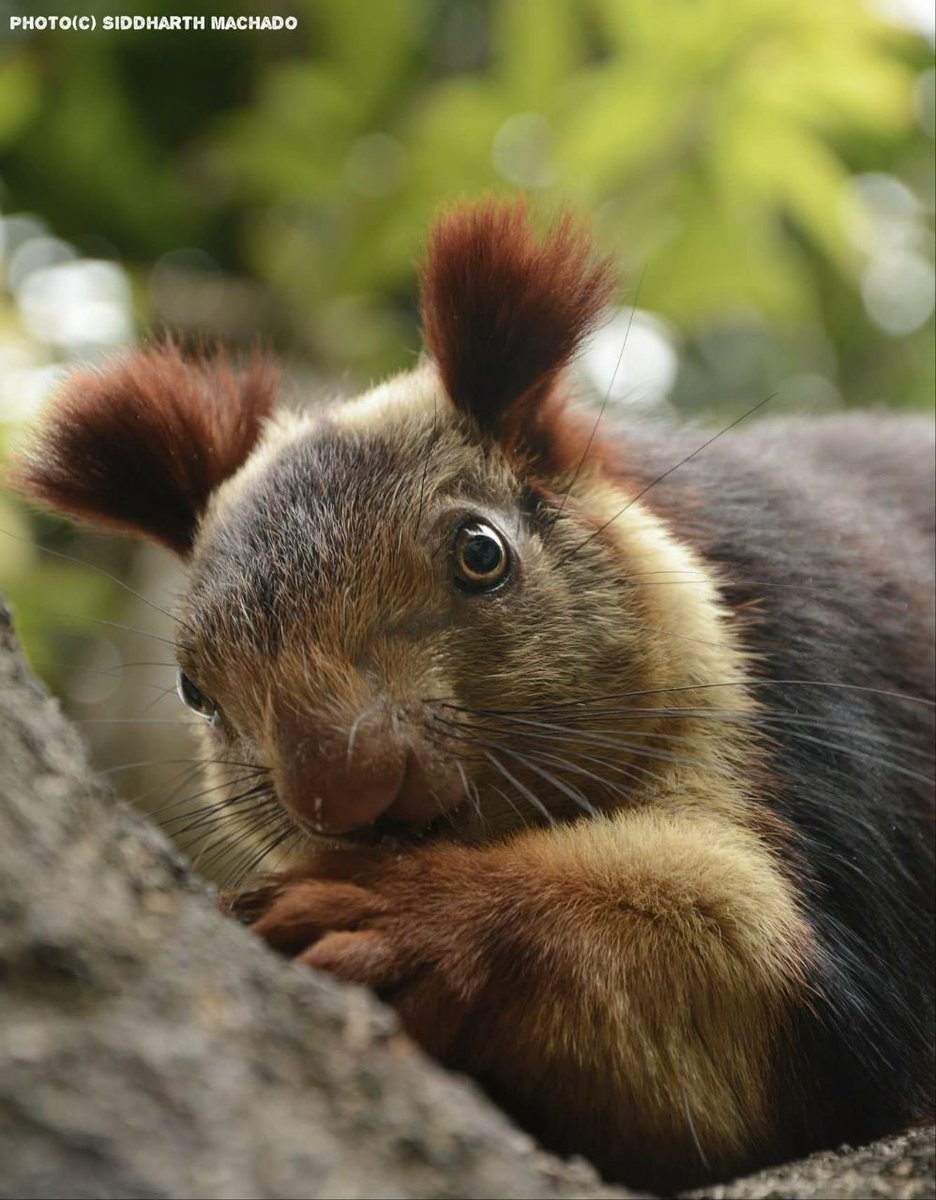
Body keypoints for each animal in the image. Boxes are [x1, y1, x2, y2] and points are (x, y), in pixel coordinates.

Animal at [8, 200, 935, 1192]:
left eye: (482, 552)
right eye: (193, 687)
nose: (342, 784)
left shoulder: (824, 736)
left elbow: (764, 971)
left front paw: (414, 918)